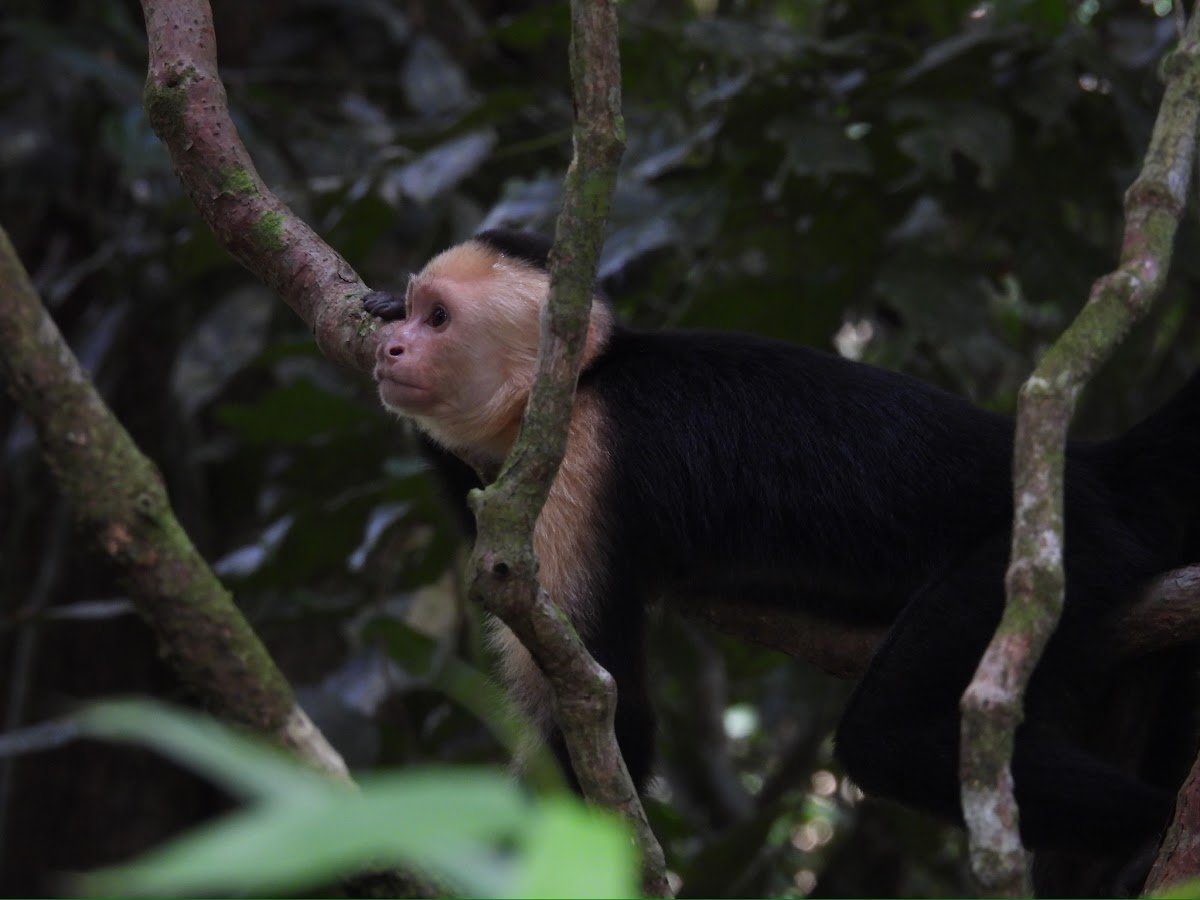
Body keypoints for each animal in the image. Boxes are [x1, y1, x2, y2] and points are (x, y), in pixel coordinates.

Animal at [365, 228, 1200, 865]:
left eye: (438, 319)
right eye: (412, 310)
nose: (393, 347)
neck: (589, 373)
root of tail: (1087, 467)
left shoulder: (582, 457)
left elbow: (601, 703)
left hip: (1062, 550)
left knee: (889, 735)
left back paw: (1153, 822)